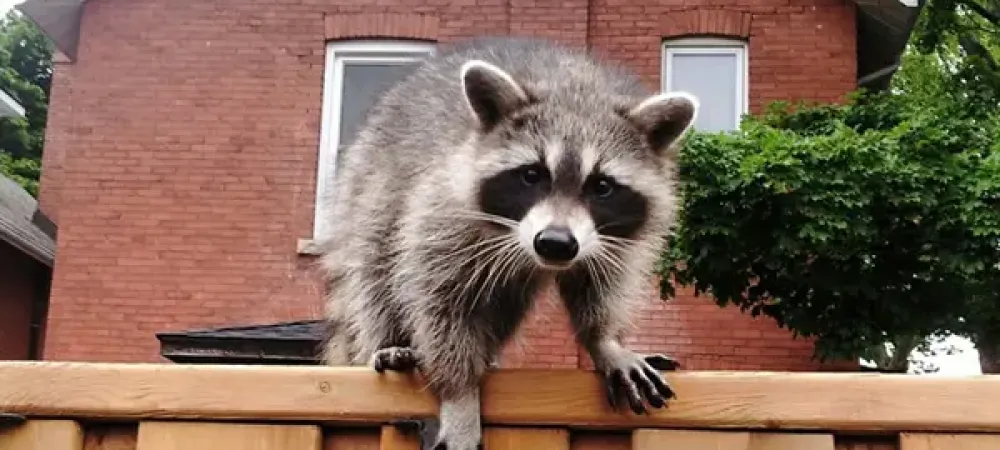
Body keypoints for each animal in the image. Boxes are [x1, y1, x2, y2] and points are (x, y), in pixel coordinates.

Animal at [316, 36, 700, 450]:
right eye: (532, 175)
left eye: (602, 186)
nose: (555, 244)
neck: (576, 90)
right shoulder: (444, 210)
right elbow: (440, 300)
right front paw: (460, 392)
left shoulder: (611, 238)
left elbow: (601, 283)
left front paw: (604, 340)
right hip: (370, 184)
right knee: (375, 264)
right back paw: (386, 339)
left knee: (504, 302)